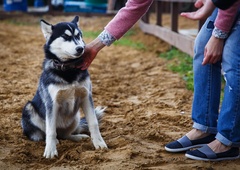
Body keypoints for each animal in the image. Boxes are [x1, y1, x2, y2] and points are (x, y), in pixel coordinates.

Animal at [21, 15, 108, 158]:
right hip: (29, 108)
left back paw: (77, 137)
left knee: (65, 135)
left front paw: (99, 143)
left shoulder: (86, 97)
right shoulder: (52, 103)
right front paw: (50, 150)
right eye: (65, 37)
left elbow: (93, 123)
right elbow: (50, 131)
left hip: (76, 116)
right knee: (44, 135)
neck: (68, 68)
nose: (80, 48)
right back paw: (54, 141)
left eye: (78, 36)